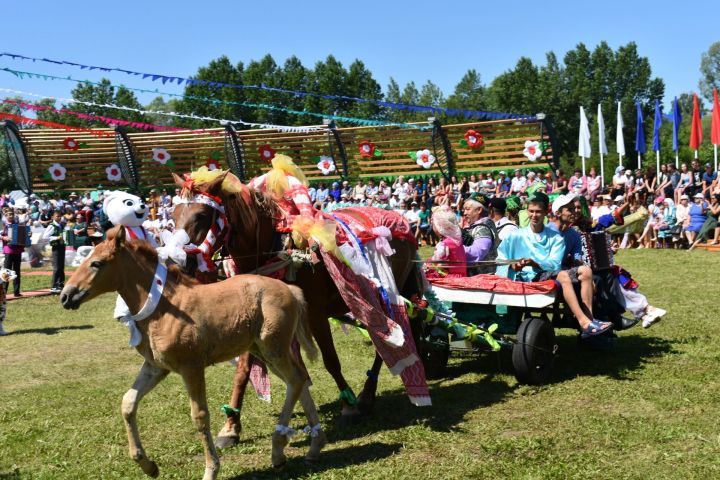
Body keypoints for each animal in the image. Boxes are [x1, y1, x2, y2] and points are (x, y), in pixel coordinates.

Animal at [60, 228, 328, 480]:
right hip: (262, 350)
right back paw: (313, 447)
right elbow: (128, 402)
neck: (163, 308)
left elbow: (199, 416)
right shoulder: (156, 367)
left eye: (96, 263)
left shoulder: (191, 367)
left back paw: (278, 450)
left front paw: (211, 470)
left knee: (296, 381)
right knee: (299, 381)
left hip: (273, 348)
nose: (66, 295)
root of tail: (291, 289)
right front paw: (148, 465)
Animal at [172, 170, 422, 446]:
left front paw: (348, 406)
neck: (274, 251)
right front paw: (231, 425)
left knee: (387, 339)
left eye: (202, 215)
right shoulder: (253, 320)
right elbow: (242, 372)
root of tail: (400, 220)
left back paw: (367, 395)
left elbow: (331, 360)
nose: (177, 261)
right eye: (173, 215)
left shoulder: (315, 314)